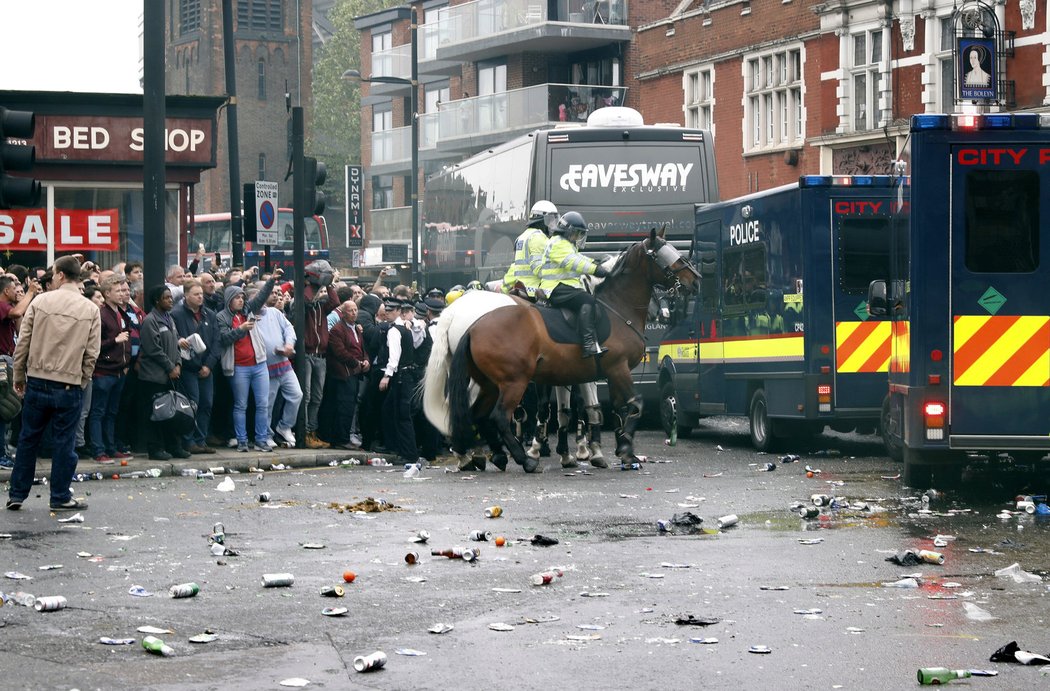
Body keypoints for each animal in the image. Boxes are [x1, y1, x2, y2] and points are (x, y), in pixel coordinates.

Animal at [417, 228, 697, 470]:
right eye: (664, 255)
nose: (695, 279)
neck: (616, 308)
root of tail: (472, 324)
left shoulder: (595, 374)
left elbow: (605, 409)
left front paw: (612, 451)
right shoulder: (614, 370)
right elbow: (628, 404)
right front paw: (611, 450)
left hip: (488, 383)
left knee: (476, 414)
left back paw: (486, 455)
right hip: (513, 382)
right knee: (497, 416)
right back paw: (520, 459)